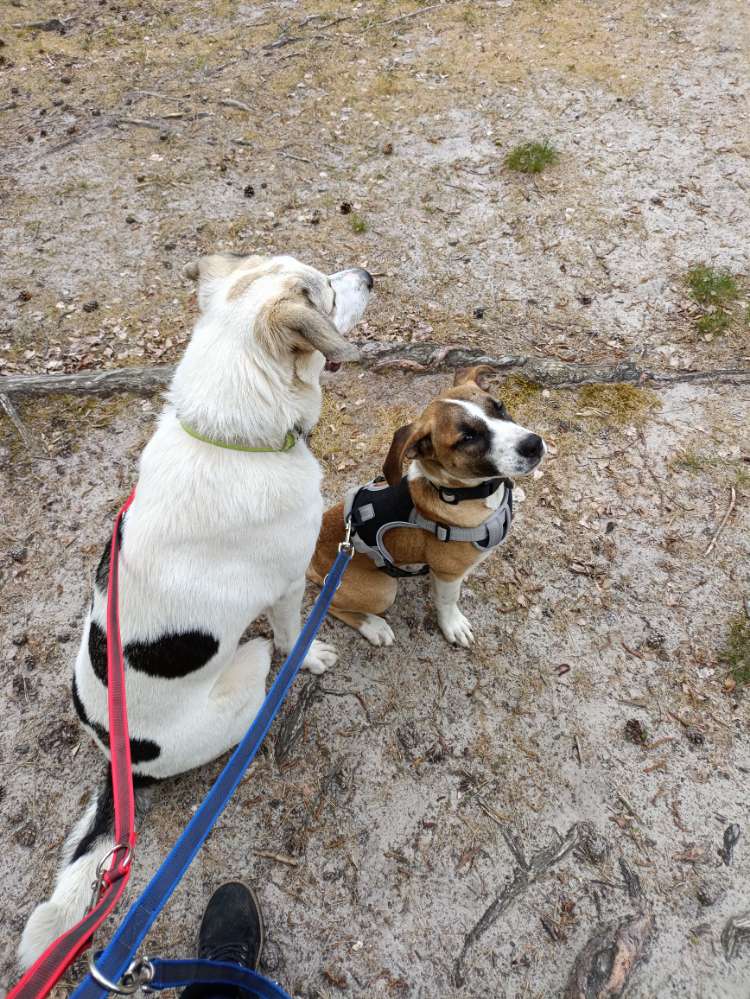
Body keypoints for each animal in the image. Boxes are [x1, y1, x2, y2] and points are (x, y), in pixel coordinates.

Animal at [16, 250, 370, 968]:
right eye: (325, 290)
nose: (370, 278)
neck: (231, 436)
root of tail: (122, 761)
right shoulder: (288, 587)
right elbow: (294, 634)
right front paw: (313, 656)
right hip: (248, 665)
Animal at [308, 368, 548, 648]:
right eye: (467, 438)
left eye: (499, 407)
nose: (533, 444)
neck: (458, 494)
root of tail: (314, 562)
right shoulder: (447, 574)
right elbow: (447, 601)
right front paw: (452, 625)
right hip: (382, 591)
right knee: (326, 603)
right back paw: (374, 626)